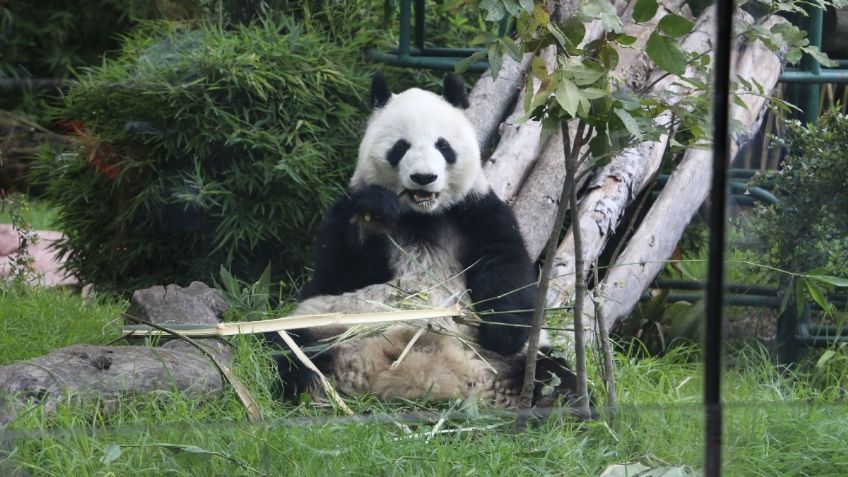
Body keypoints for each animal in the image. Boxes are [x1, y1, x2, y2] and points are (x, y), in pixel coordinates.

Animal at [268, 72, 580, 408]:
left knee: (555, 373)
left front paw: (501, 330)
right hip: (330, 321)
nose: (423, 177)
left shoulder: (478, 211)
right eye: (400, 147)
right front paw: (376, 211)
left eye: (443, 146)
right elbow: (337, 271)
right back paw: (306, 384)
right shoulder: (347, 208)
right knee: (285, 346)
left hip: (505, 357)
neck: (422, 216)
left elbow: (507, 266)